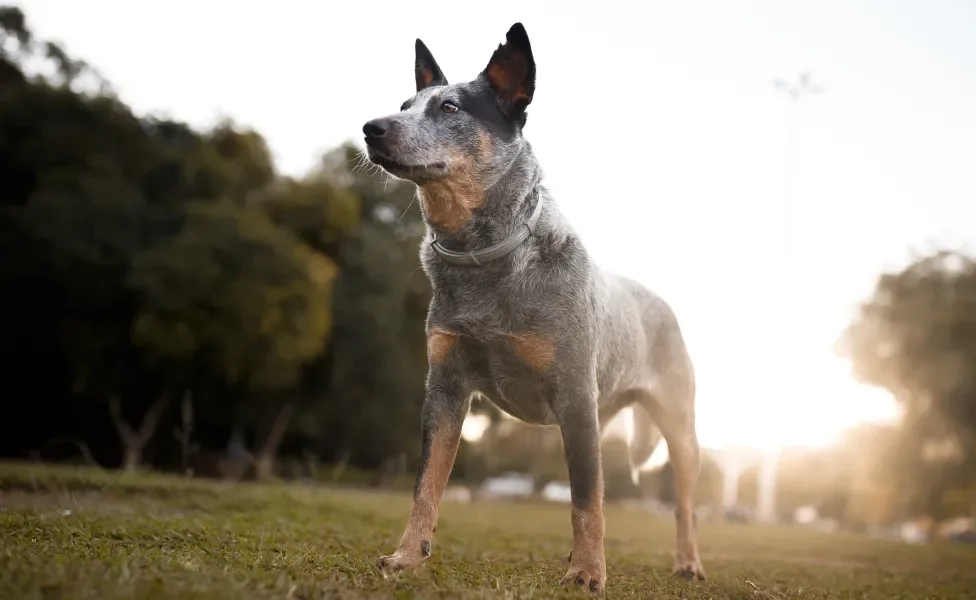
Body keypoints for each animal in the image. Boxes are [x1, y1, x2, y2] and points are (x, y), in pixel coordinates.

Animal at [362, 21, 704, 592]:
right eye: (406, 103)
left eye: (450, 107)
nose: (371, 127)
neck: (484, 259)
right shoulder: (445, 389)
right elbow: (425, 485)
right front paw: (406, 556)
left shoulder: (576, 396)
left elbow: (587, 499)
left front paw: (588, 572)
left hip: (679, 428)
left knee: (683, 503)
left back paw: (689, 561)